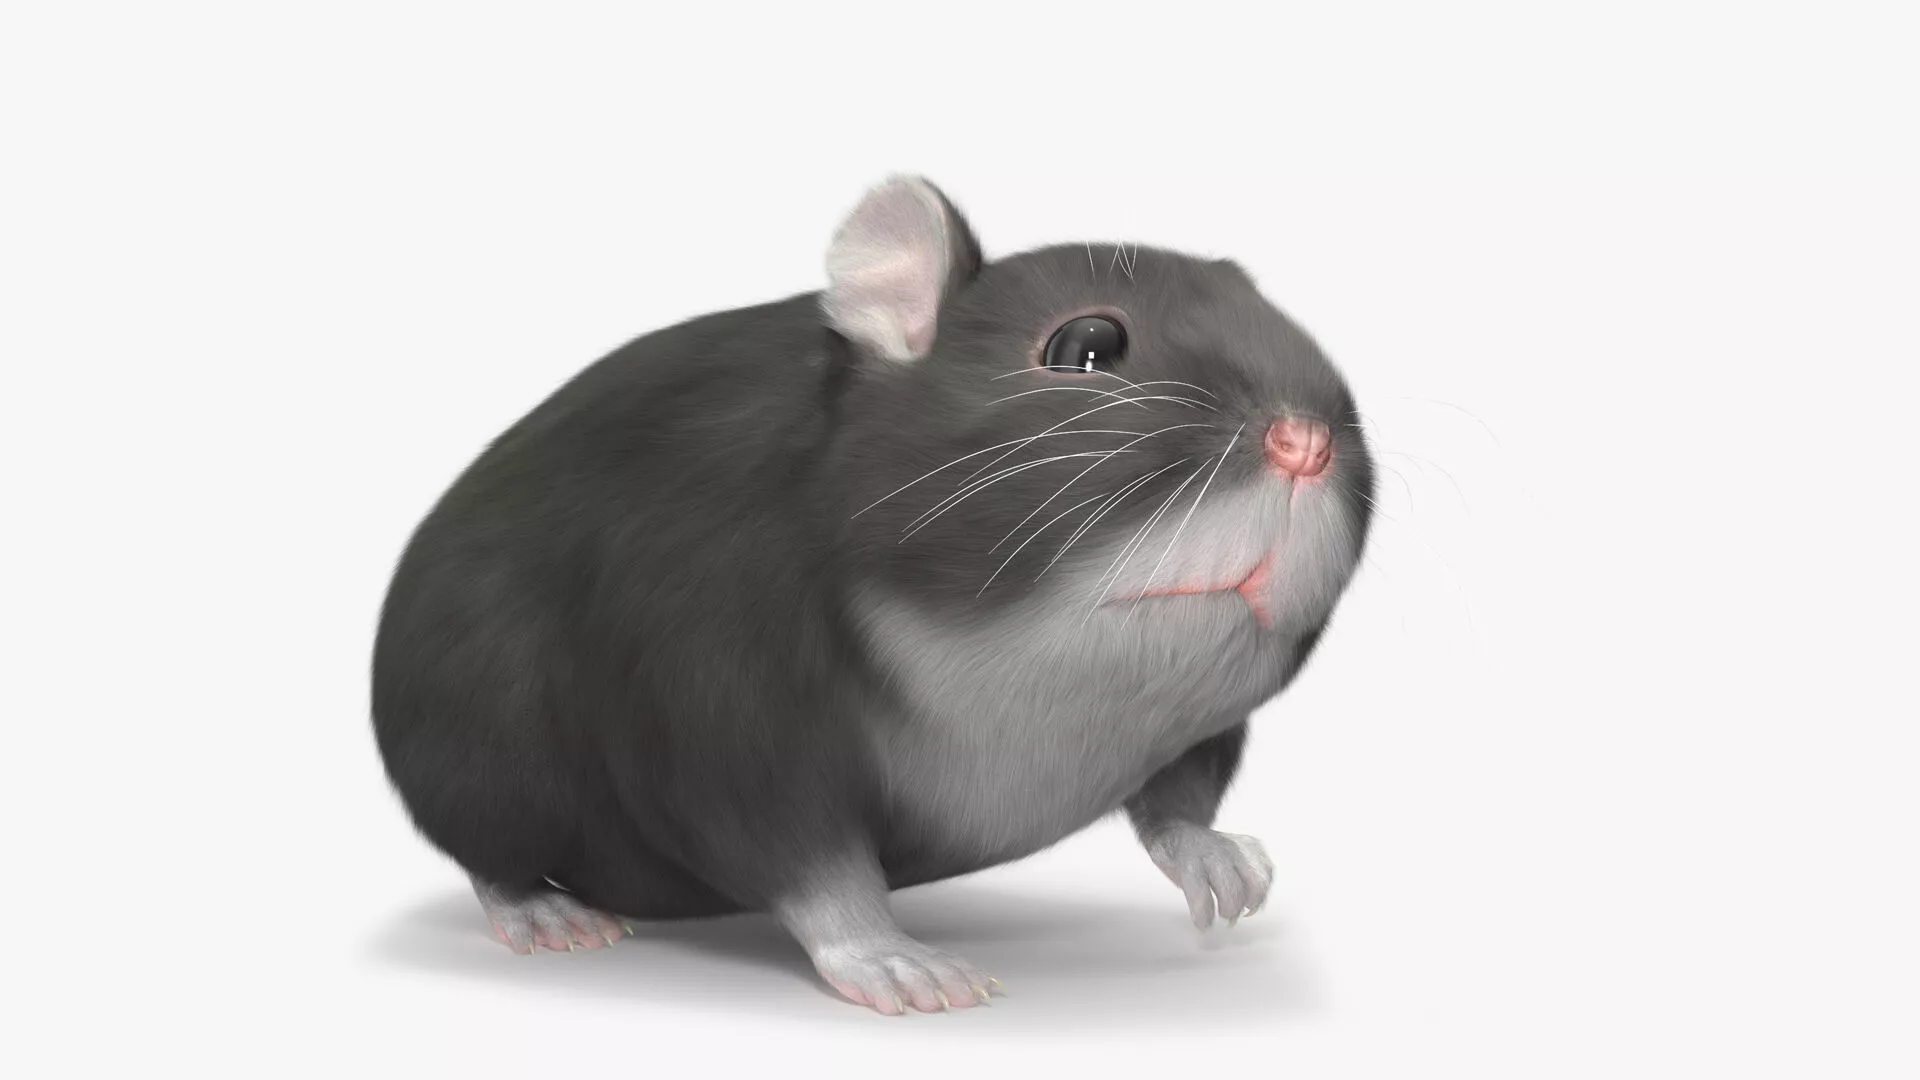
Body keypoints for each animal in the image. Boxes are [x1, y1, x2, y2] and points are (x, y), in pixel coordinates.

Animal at [371, 176, 1374, 1013]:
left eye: (1289, 333)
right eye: (1088, 345)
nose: (1303, 443)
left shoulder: (1198, 729)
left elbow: (1182, 788)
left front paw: (1212, 855)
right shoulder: (716, 685)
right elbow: (794, 848)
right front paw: (885, 952)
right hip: (478, 747)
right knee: (488, 845)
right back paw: (538, 907)